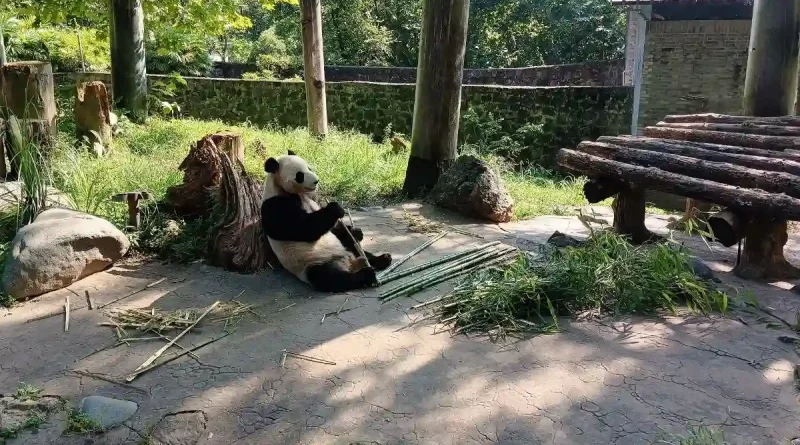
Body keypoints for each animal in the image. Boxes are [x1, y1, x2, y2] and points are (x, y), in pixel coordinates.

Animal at [260, 151, 392, 294]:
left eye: (309, 167)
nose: (316, 181)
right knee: (332, 278)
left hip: (343, 248)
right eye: (300, 175)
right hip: (312, 263)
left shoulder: (309, 199)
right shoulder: (275, 205)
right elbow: (302, 228)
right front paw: (335, 208)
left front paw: (356, 231)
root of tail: (350, 263)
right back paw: (366, 274)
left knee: (354, 247)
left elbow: (332, 228)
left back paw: (382, 258)